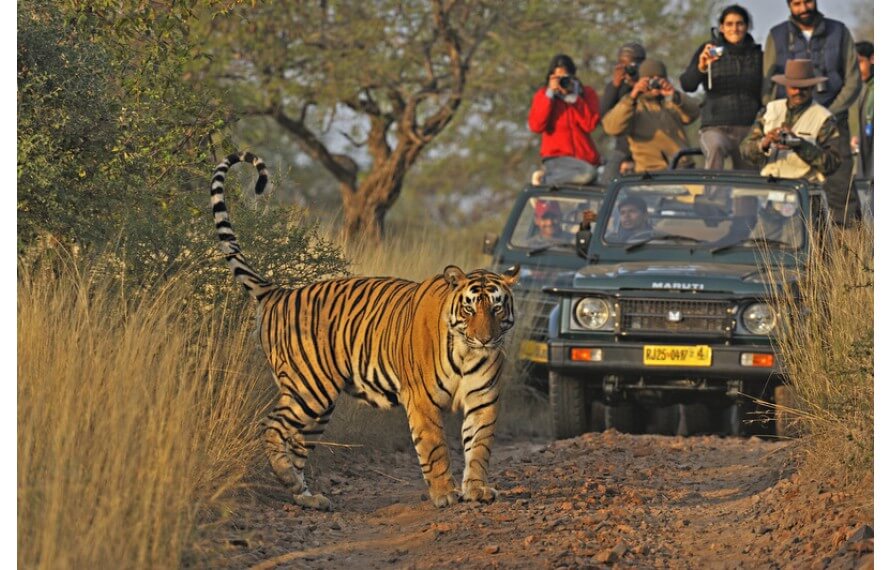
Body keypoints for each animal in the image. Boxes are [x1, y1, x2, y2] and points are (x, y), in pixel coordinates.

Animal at [213, 152, 524, 510]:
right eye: (469, 309)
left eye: (497, 308)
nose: (485, 339)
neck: (466, 351)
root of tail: (280, 292)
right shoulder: (422, 400)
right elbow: (436, 448)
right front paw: (445, 494)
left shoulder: (482, 397)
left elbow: (479, 446)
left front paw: (476, 489)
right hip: (309, 389)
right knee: (271, 425)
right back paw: (287, 477)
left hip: (318, 404)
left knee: (297, 442)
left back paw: (308, 497)